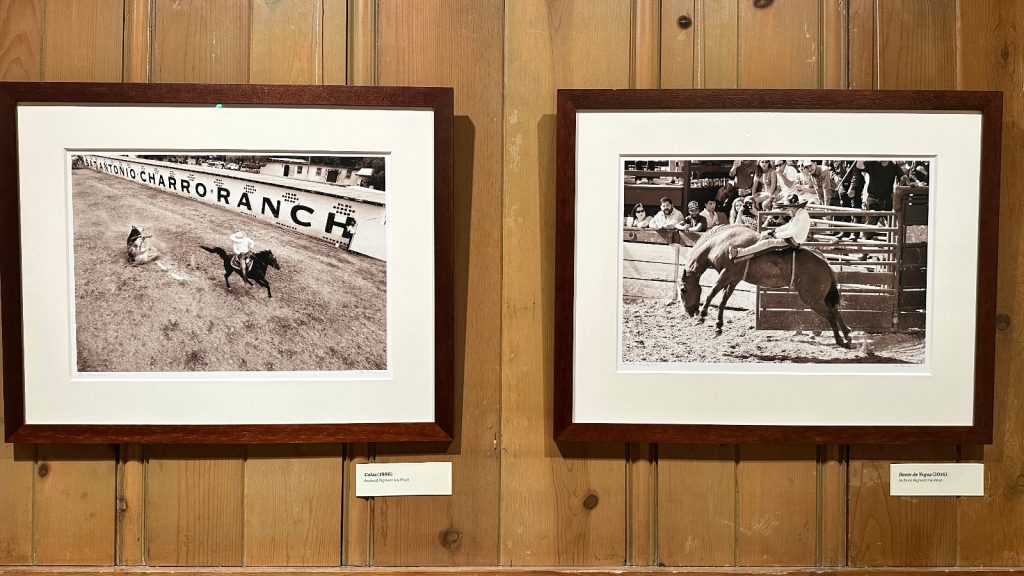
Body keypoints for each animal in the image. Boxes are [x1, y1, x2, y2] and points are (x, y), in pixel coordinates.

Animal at [679, 222, 856, 342]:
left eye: (683, 289)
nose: (689, 312)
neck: (719, 243)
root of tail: (824, 262)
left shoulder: (727, 273)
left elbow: (712, 292)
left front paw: (702, 317)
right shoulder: (734, 278)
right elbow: (723, 299)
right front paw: (718, 326)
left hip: (812, 298)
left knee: (830, 312)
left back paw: (841, 338)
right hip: (818, 297)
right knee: (834, 309)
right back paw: (847, 334)